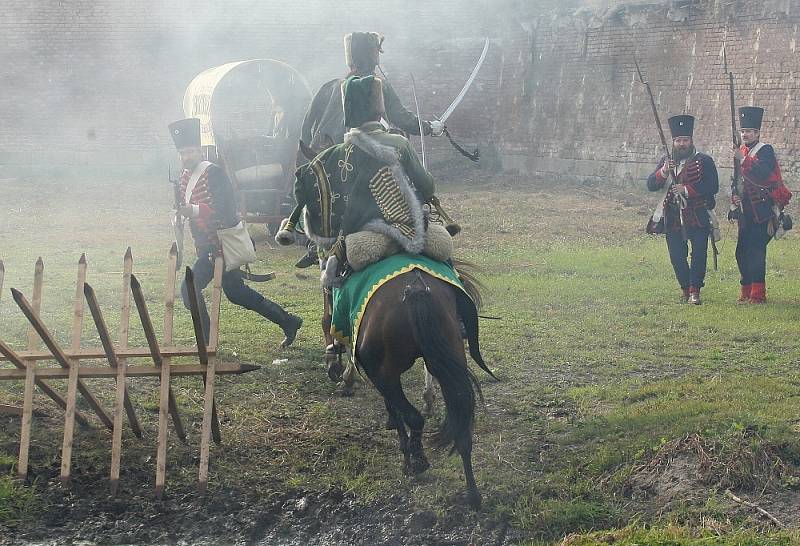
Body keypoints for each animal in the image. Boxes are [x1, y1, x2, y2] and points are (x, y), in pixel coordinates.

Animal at [354, 264, 490, 506]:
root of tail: (416, 289)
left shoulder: (382, 374)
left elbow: (396, 412)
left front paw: (406, 456)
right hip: (449, 359)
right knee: (462, 427)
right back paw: (473, 494)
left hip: (384, 375)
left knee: (412, 416)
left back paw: (416, 461)